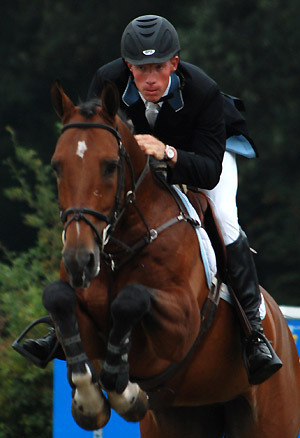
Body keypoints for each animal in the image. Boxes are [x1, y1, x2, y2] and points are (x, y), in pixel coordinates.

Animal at [44, 79, 300, 438]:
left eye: (110, 166)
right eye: (57, 166)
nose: (80, 260)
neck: (120, 249)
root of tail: (284, 331)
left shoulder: (181, 326)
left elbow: (131, 298)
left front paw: (125, 391)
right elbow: (58, 297)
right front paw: (90, 400)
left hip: (273, 415)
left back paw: (261, 350)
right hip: (184, 416)